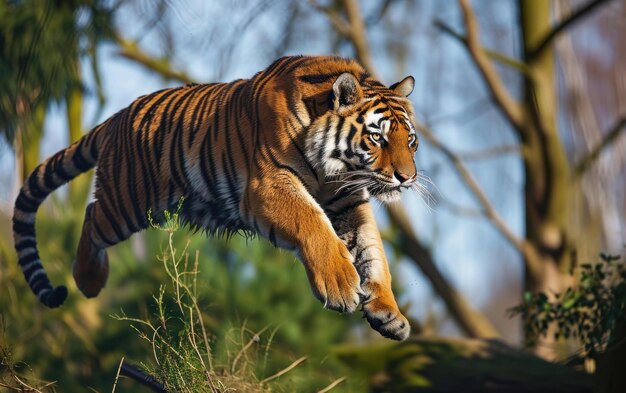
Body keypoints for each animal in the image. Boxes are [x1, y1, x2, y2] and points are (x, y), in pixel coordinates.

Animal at [14, 55, 422, 340]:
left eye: (411, 141)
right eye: (377, 138)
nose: (407, 178)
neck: (333, 169)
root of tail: (116, 117)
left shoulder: (347, 200)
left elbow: (372, 251)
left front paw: (390, 314)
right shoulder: (269, 185)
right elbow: (313, 225)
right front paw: (340, 285)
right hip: (128, 203)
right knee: (91, 217)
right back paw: (88, 280)